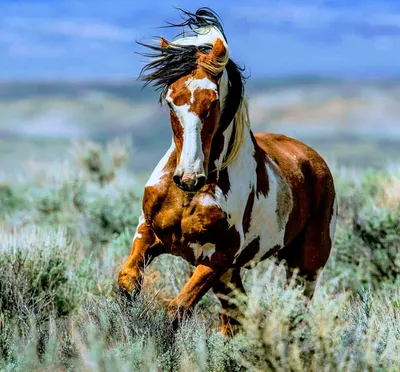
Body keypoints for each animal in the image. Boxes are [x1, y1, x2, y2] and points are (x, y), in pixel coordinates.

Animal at [119, 7, 338, 336]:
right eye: (171, 102)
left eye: (212, 103)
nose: (189, 178)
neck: (190, 197)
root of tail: (313, 159)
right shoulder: (149, 233)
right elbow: (127, 283)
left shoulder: (218, 258)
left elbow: (175, 310)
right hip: (231, 277)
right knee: (235, 319)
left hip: (305, 266)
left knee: (293, 314)